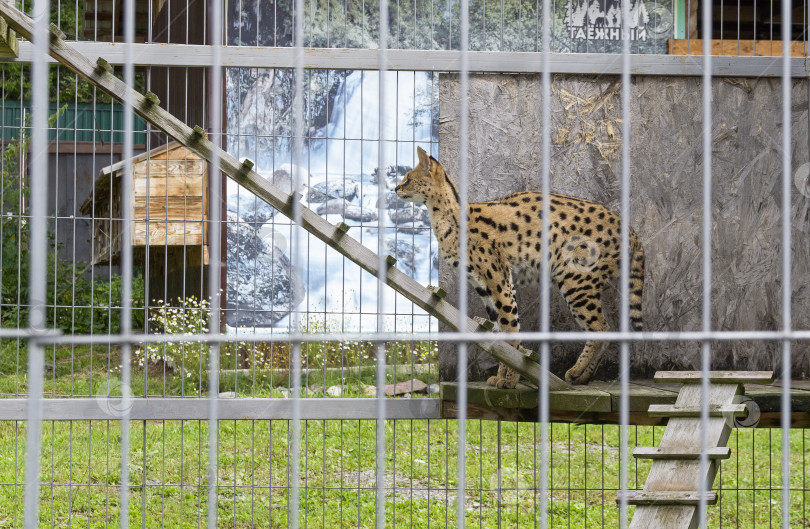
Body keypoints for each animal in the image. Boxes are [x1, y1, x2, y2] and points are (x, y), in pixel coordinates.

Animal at [396, 146, 644, 386]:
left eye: (407, 179)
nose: (396, 189)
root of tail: (631, 230)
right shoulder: (484, 287)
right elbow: (500, 333)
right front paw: (503, 376)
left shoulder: (499, 281)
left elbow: (510, 331)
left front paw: (510, 379)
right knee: (607, 329)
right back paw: (583, 376)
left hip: (575, 280)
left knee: (601, 327)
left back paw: (576, 370)